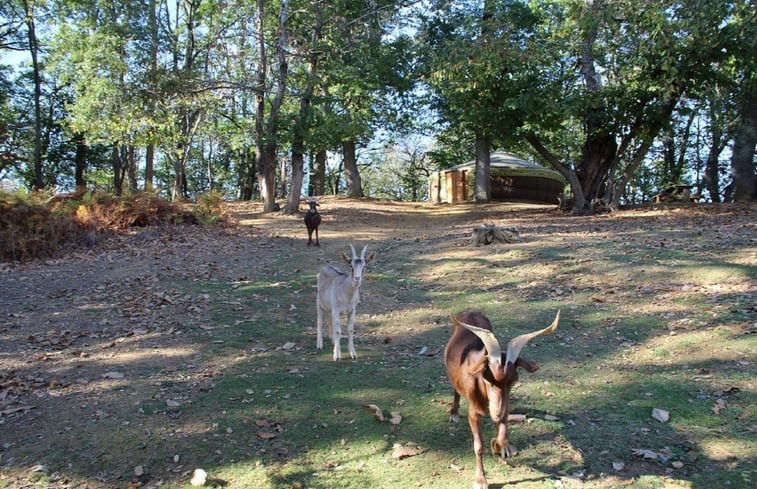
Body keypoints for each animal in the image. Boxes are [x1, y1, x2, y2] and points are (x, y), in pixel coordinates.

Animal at [442, 310, 556, 486]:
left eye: (513, 382)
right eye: (487, 380)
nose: (496, 413)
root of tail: (471, 312)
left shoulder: (505, 405)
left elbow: (503, 435)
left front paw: (498, 446)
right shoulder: (474, 412)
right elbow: (478, 445)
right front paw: (481, 480)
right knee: (455, 389)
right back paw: (454, 413)